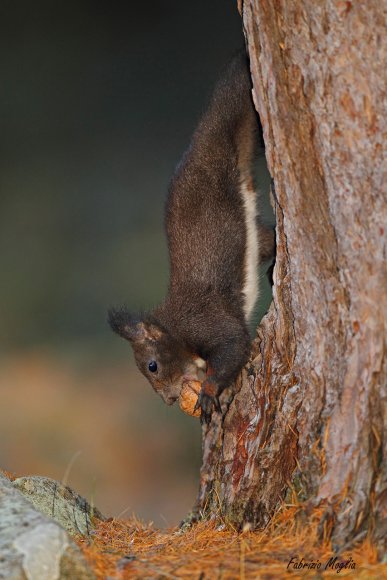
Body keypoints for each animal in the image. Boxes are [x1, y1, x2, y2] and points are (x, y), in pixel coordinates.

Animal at [108, 52, 276, 424]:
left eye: (152, 366)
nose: (169, 400)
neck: (174, 327)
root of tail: (202, 144)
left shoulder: (205, 321)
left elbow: (233, 345)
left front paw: (210, 392)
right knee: (267, 238)